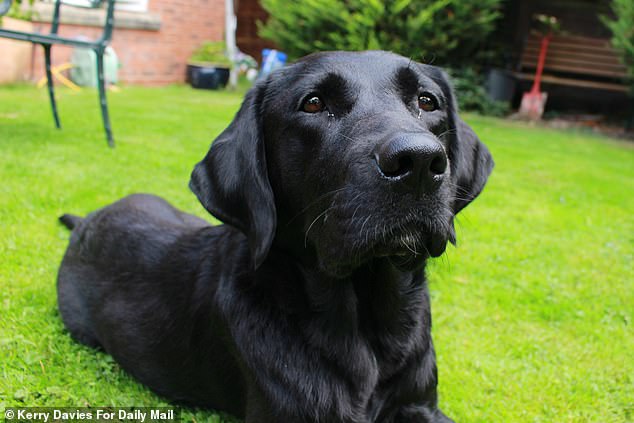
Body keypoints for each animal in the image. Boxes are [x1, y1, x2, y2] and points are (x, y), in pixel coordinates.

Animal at [58, 51, 494, 422]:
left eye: (427, 101)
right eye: (313, 103)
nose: (419, 161)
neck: (367, 329)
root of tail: (87, 221)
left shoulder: (421, 405)